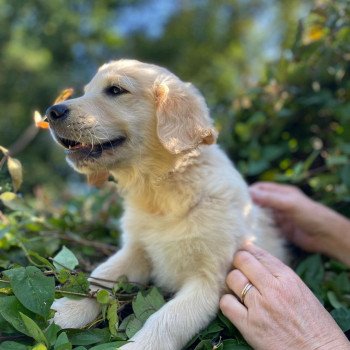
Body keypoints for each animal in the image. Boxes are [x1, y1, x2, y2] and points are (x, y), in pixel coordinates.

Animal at [46, 60, 288, 350]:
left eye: (115, 90)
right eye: (86, 91)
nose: (51, 112)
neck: (162, 193)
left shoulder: (210, 279)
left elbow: (167, 319)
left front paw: (139, 346)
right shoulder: (137, 250)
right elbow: (100, 276)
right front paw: (65, 310)